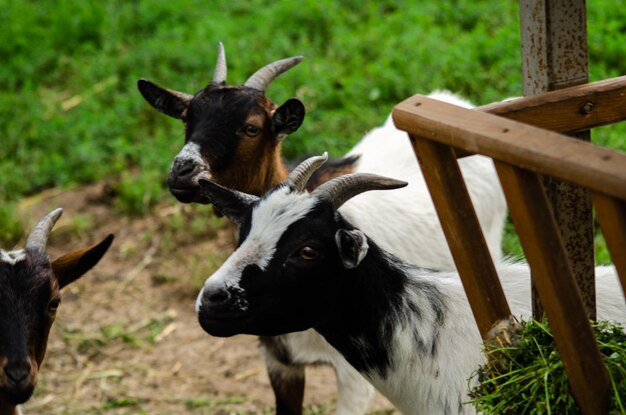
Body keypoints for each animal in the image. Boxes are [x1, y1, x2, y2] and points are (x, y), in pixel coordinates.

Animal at [138, 42, 508, 415]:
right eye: (187, 117)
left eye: (252, 127)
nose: (183, 171)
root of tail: (455, 101)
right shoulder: (280, 363)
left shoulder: (354, 376)